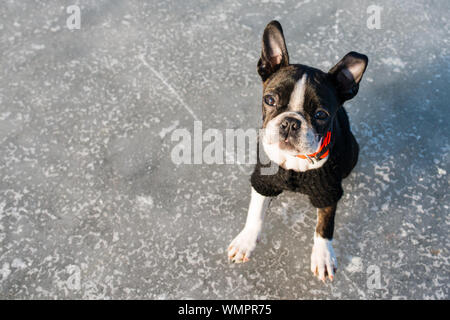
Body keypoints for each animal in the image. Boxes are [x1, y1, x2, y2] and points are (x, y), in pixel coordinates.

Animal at [227, 20, 368, 282]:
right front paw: (246, 241)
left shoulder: (328, 191)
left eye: (321, 114)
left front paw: (323, 256)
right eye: (270, 100)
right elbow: (255, 212)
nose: (290, 122)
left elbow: (324, 225)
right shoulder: (263, 180)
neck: (294, 161)